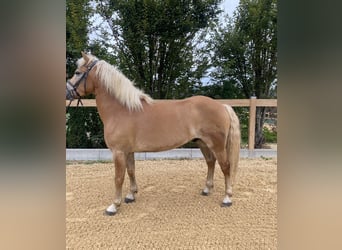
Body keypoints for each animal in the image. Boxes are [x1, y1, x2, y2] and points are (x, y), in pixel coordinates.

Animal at [65, 52, 239, 215]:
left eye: (77, 73)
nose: (67, 93)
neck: (122, 110)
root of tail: (222, 106)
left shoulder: (118, 152)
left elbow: (118, 178)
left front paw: (114, 206)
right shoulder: (128, 151)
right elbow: (131, 171)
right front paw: (131, 195)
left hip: (217, 145)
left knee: (225, 166)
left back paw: (227, 198)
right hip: (202, 142)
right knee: (211, 162)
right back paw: (207, 189)